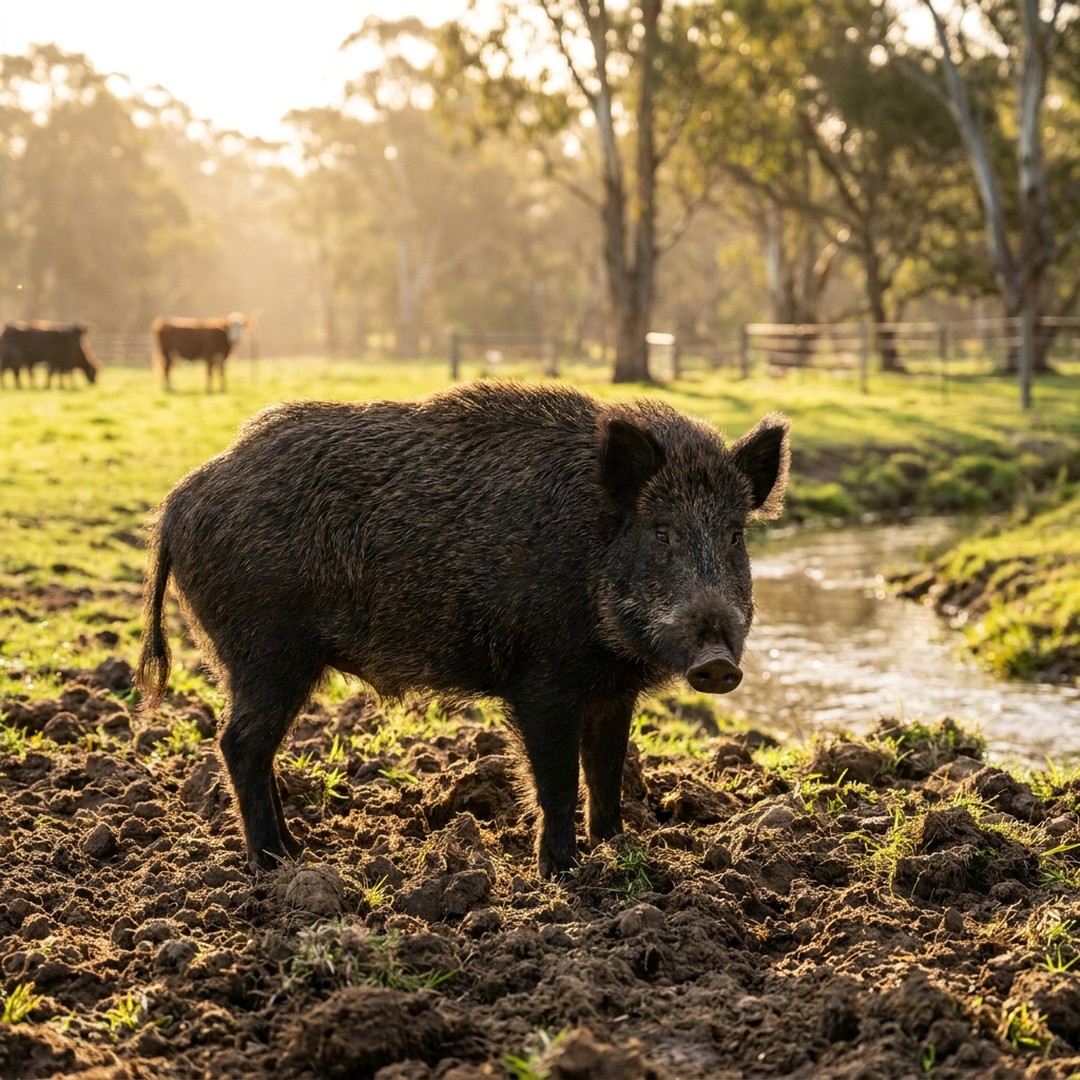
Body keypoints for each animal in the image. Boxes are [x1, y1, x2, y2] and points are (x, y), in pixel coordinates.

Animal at [137, 381, 789, 876]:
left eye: (735, 535)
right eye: (661, 532)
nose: (717, 661)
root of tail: (177, 501)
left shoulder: (612, 689)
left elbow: (606, 771)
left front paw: (617, 850)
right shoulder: (542, 678)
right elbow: (556, 779)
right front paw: (561, 873)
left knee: (255, 745)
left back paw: (298, 850)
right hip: (267, 650)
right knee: (239, 742)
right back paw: (279, 864)